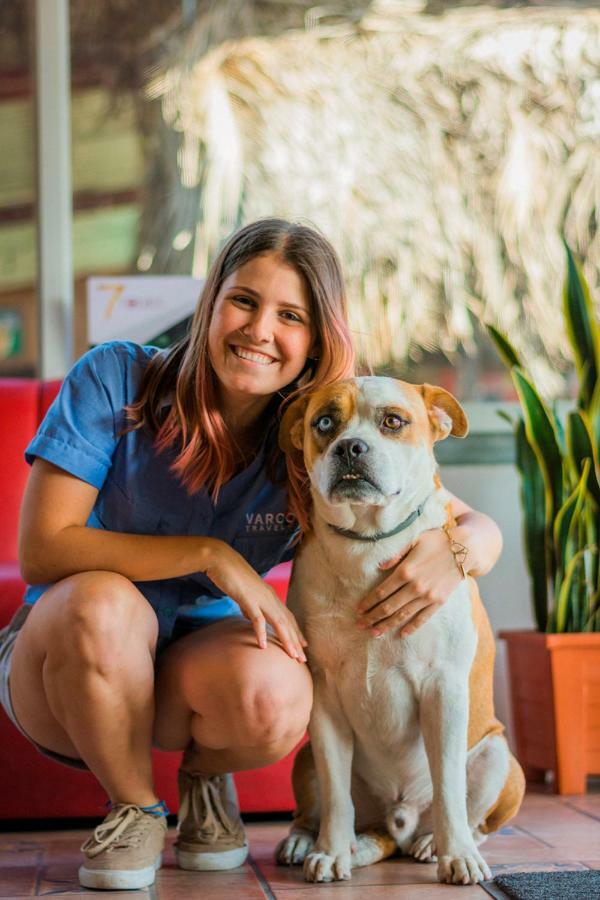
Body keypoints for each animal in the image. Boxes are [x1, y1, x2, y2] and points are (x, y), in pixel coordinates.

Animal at [276, 378, 524, 884]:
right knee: (320, 806)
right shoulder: (324, 694)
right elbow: (336, 794)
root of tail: (398, 824)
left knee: (474, 815)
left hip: (500, 759)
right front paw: (331, 851)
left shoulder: (443, 687)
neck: (368, 544)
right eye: (324, 422)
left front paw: (457, 856)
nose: (350, 447)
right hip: (305, 758)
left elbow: (448, 785)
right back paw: (308, 840)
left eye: (393, 421)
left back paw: (436, 844)